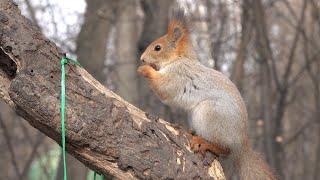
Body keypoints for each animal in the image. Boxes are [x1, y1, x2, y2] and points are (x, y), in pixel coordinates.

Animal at [138, 10, 276, 180]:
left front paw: (144, 69)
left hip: (209, 114)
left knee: (224, 149)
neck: (178, 59)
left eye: (157, 48)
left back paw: (204, 142)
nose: (142, 59)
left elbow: (163, 88)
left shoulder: (179, 75)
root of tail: (240, 144)